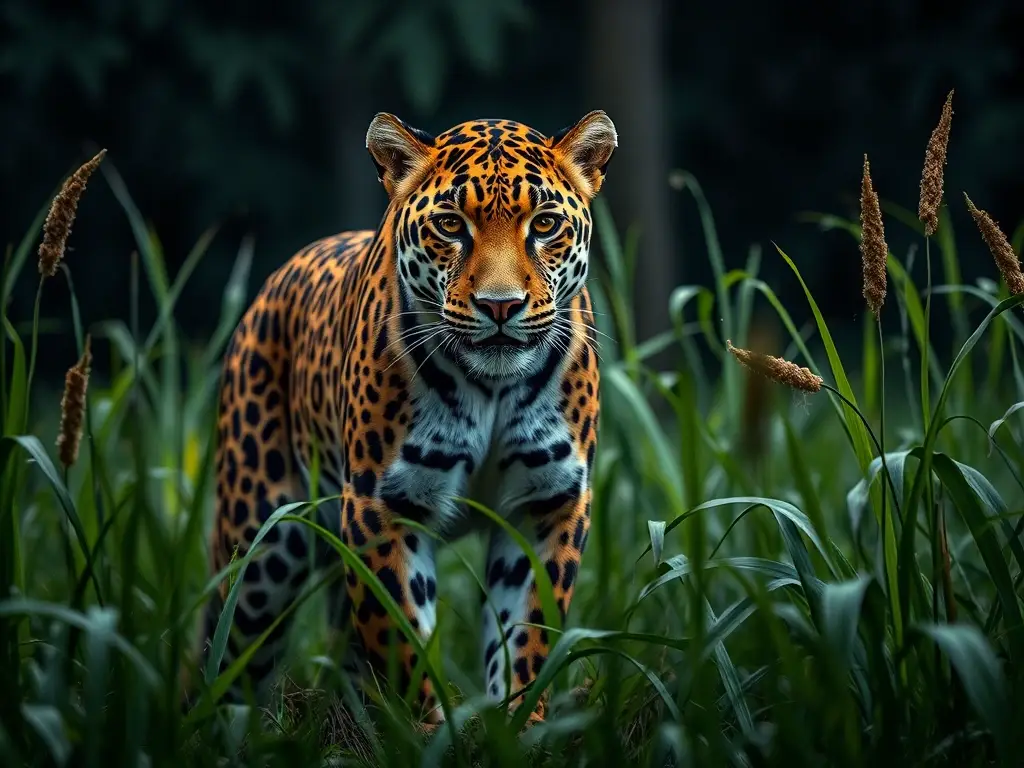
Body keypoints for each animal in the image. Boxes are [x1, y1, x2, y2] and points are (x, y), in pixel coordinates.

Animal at [197, 109, 616, 727]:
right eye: (450, 224)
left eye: (543, 225)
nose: (500, 306)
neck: (491, 387)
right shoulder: (381, 503)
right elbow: (402, 636)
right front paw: (431, 730)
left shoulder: (547, 502)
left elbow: (526, 635)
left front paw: (517, 726)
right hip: (259, 545)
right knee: (225, 650)